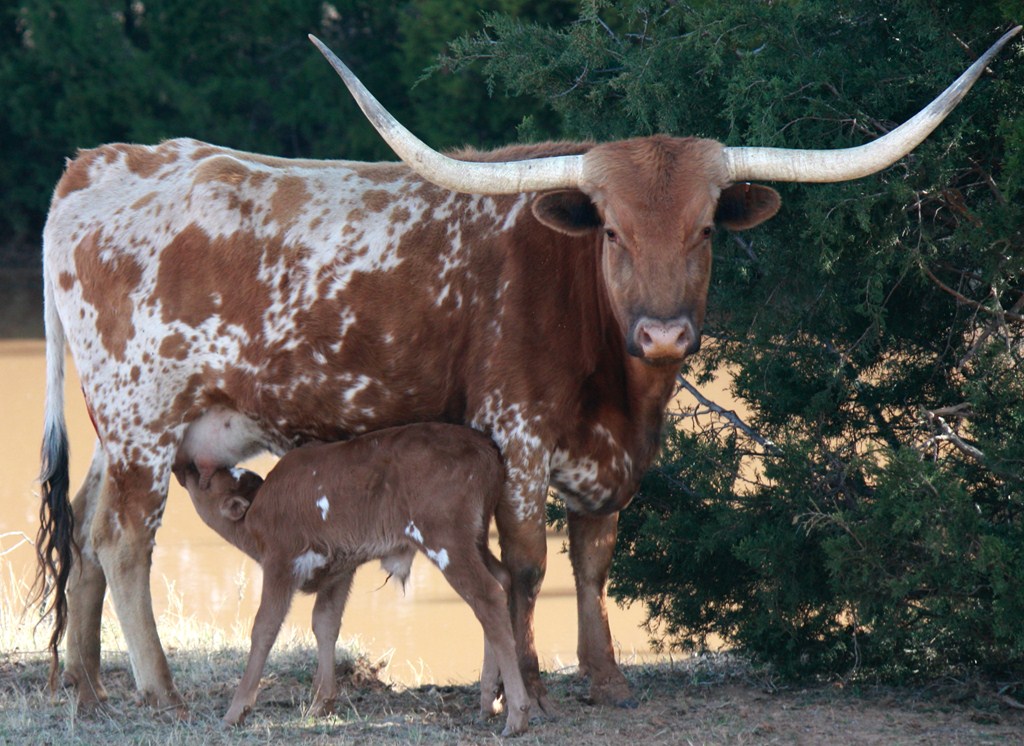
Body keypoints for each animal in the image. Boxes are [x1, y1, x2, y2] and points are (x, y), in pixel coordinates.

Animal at [178, 423, 529, 735]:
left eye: (207, 479)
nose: (184, 468)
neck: (255, 516)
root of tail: (486, 449)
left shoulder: (280, 561)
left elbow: (265, 628)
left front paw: (235, 711)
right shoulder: (341, 567)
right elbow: (325, 622)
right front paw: (321, 704)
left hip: (446, 540)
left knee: (487, 596)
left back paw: (517, 715)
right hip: (475, 538)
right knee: (502, 579)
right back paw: (488, 702)